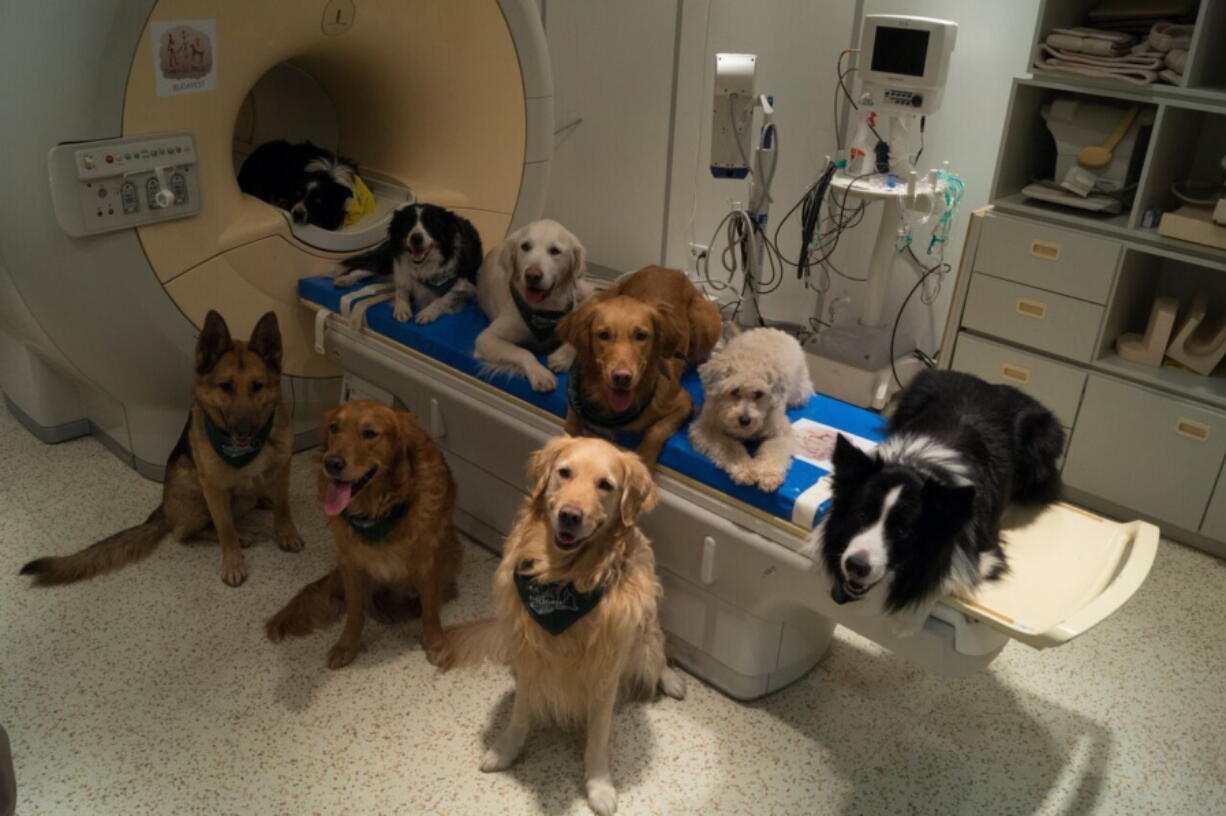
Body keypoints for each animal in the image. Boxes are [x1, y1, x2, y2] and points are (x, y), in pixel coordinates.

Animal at [804, 370, 1064, 637]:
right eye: (862, 515)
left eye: (903, 531)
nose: (855, 566)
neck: (919, 467)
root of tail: (993, 385)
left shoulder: (985, 556)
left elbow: (943, 580)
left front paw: (908, 621)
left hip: (1044, 439)